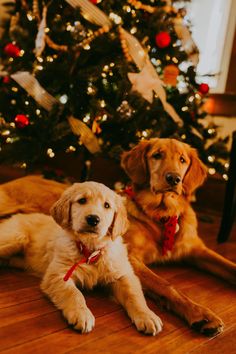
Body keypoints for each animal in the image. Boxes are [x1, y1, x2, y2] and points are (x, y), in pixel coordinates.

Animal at [0, 183, 162, 334]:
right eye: (82, 200)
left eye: (107, 205)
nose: (93, 219)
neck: (90, 251)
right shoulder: (58, 274)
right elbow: (74, 293)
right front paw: (82, 314)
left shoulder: (124, 274)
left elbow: (135, 295)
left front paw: (148, 316)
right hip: (15, 238)